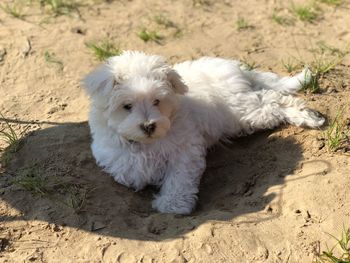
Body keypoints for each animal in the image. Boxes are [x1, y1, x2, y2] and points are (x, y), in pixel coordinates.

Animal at [82, 50, 326, 216]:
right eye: (127, 106)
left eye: (157, 101)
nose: (149, 126)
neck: (148, 143)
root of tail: (237, 69)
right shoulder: (116, 155)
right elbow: (130, 172)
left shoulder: (185, 150)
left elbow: (179, 177)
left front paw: (173, 204)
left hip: (242, 111)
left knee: (275, 100)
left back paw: (308, 116)